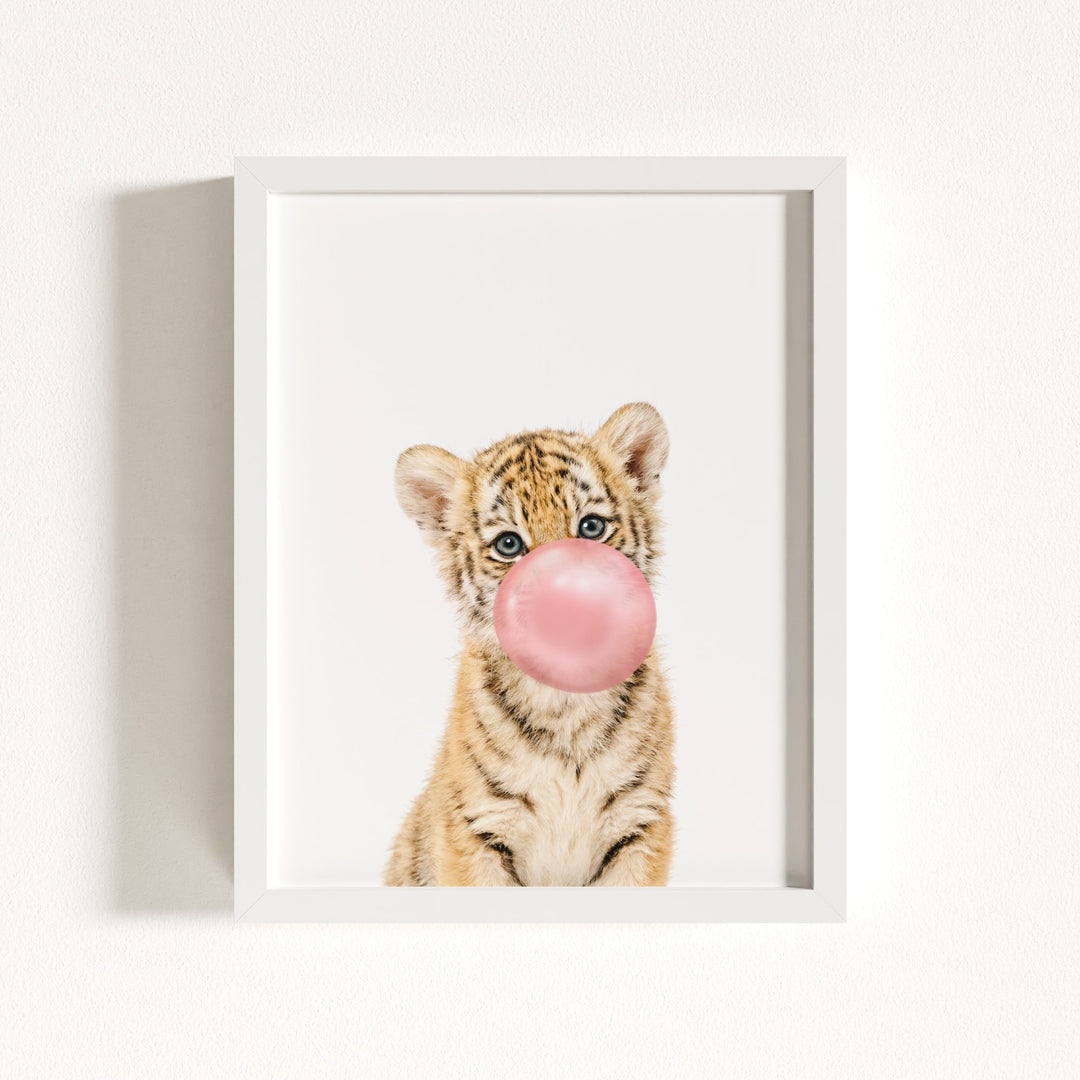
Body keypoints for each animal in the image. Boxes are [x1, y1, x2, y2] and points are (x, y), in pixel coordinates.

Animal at [384, 402, 675, 887]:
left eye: (591, 527)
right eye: (509, 544)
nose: (567, 599)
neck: (567, 703)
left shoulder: (640, 823)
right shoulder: (476, 830)